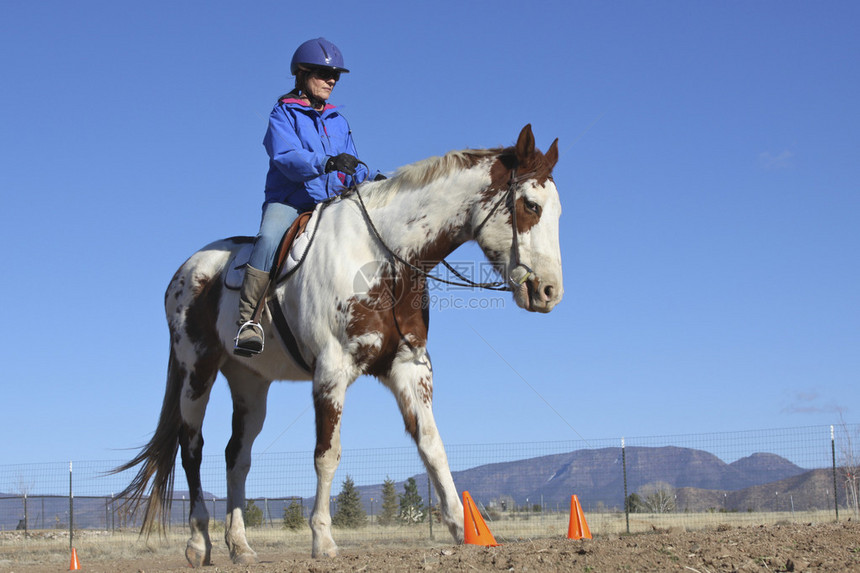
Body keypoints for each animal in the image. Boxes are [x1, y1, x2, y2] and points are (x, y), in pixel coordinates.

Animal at [116, 123, 564, 564]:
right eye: (530, 205)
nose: (549, 292)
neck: (384, 257)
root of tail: (184, 272)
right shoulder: (331, 372)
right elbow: (327, 454)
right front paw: (323, 540)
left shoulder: (409, 368)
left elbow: (432, 446)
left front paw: (462, 529)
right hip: (197, 370)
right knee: (192, 448)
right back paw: (199, 543)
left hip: (249, 383)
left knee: (236, 457)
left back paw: (240, 546)